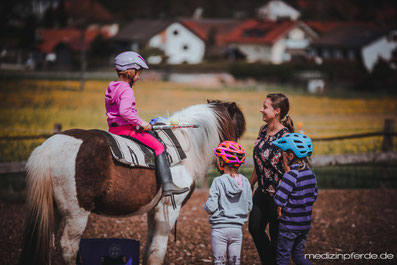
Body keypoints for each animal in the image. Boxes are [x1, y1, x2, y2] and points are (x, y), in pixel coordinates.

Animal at [20, 99, 244, 264]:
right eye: (236, 130)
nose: (235, 159)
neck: (182, 144)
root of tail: (48, 148)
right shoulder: (168, 210)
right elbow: (157, 252)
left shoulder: (154, 211)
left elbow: (148, 249)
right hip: (76, 213)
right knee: (68, 247)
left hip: (53, 210)